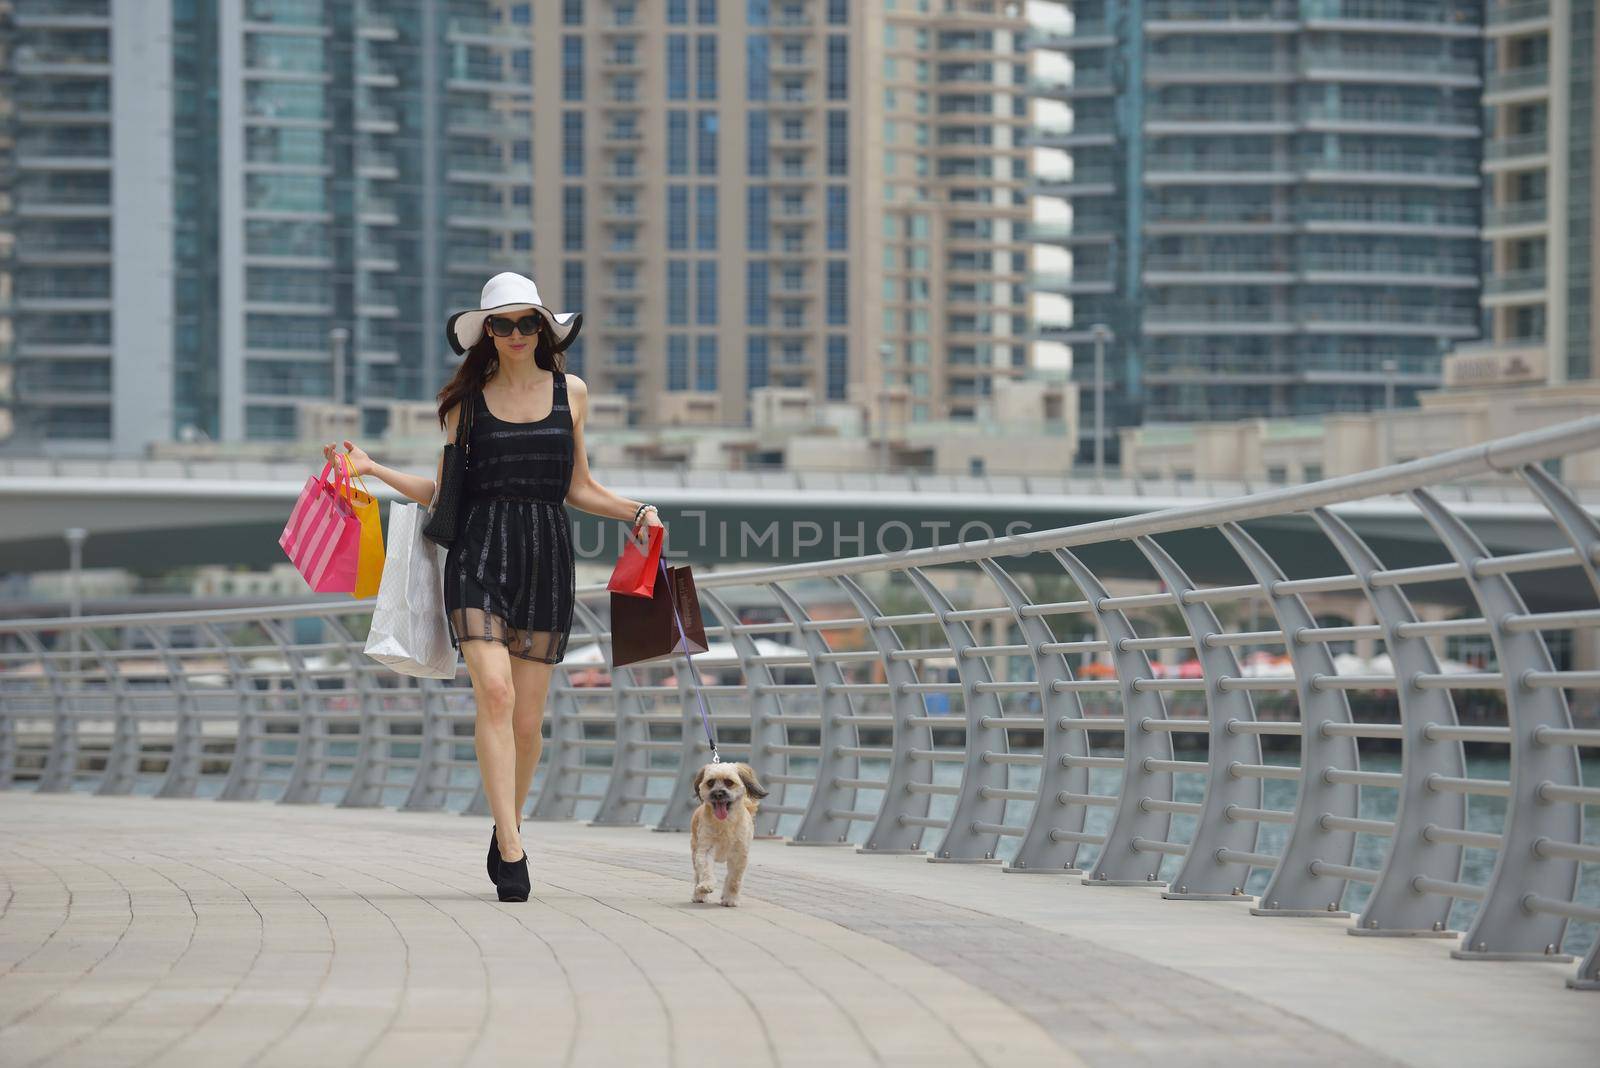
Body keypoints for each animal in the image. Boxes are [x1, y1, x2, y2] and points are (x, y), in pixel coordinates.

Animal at [688, 764, 768, 908]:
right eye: (710, 782)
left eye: (729, 782)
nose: (718, 793)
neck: (725, 823)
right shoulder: (705, 848)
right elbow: (706, 869)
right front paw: (706, 885)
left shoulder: (739, 854)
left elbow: (734, 880)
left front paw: (730, 899)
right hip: (695, 848)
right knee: (697, 875)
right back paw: (699, 895)